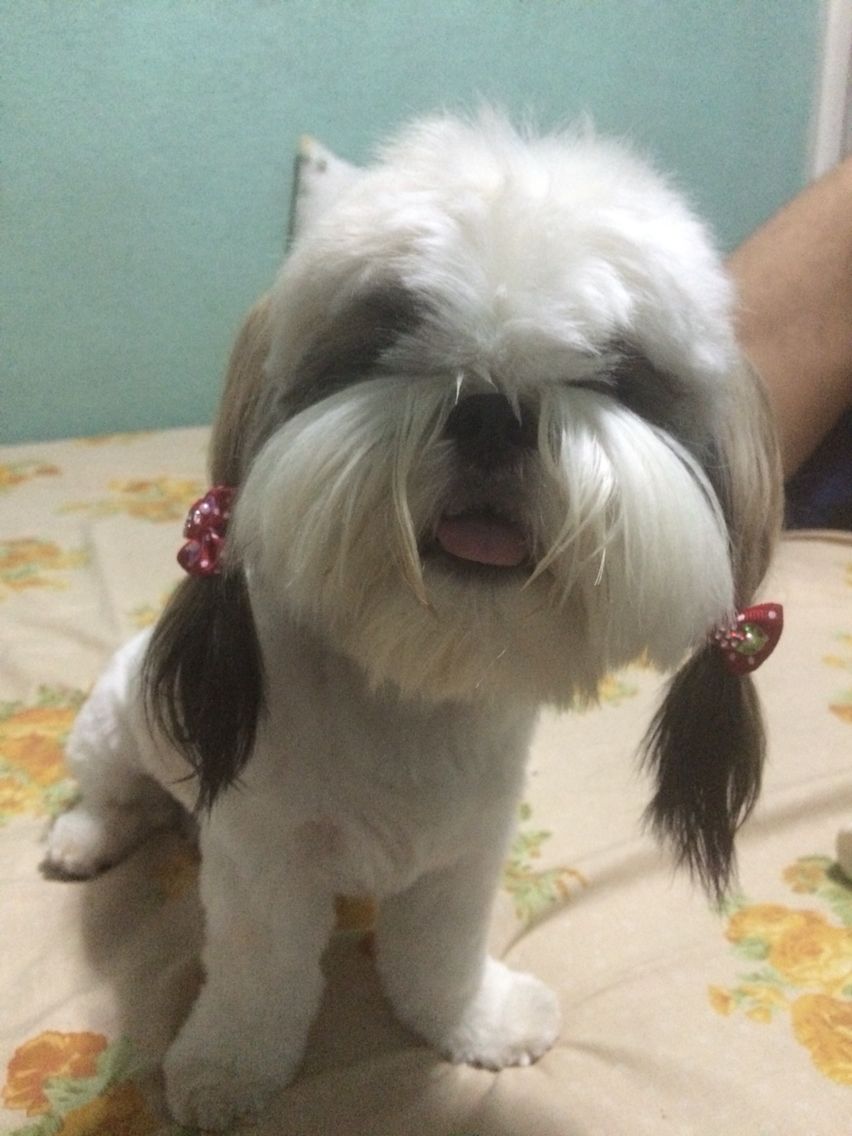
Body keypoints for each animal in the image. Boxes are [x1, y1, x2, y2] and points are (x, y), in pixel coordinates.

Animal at [45, 115, 781, 1126]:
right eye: (393, 328)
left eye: (619, 369)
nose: (493, 408)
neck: (414, 681)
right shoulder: (265, 866)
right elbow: (258, 979)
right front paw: (225, 1068)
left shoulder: (462, 858)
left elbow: (437, 960)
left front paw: (474, 1023)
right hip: (116, 726)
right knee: (114, 794)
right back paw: (85, 836)